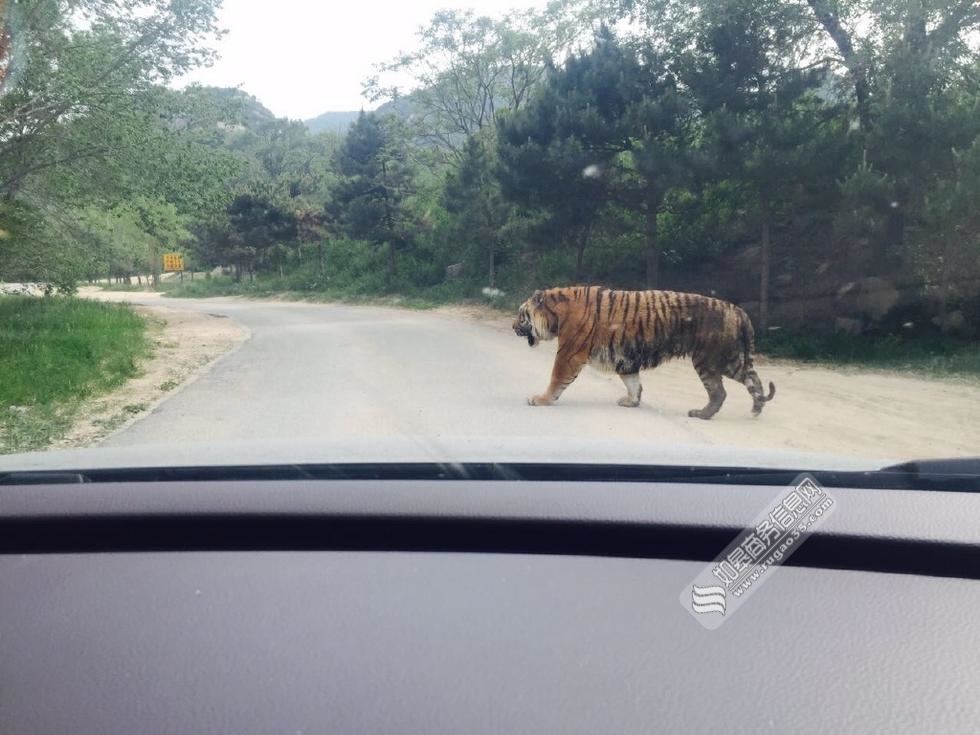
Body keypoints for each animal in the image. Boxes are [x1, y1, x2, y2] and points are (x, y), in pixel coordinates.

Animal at [512, 286, 772, 420]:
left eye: (521, 315)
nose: (513, 327)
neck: (556, 315)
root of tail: (737, 310)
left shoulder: (569, 354)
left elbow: (556, 378)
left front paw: (541, 399)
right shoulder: (624, 357)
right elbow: (633, 383)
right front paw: (631, 402)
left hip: (707, 360)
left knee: (719, 391)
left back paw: (701, 413)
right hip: (729, 359)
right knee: (753, 379)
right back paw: (757, 408)